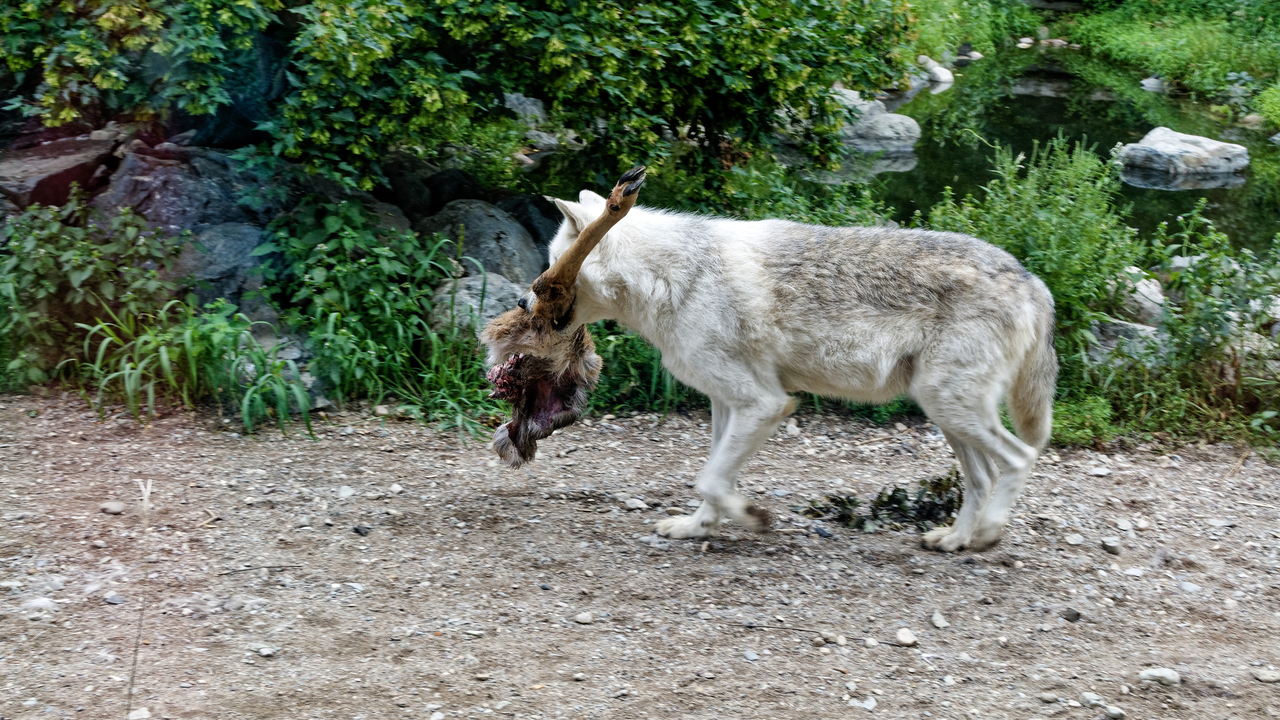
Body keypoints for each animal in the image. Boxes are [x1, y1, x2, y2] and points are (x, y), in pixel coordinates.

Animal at [483, 168, 1057, 552]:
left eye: (551, 266)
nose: (524, 303)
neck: (672, 277)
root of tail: (1034, 281)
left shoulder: (765, 403)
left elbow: (712, 479)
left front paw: (752, 517)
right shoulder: (727, 405)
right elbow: (711, 477)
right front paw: (697, 527)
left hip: (950, 406)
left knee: (1019, 458)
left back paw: (987, 533)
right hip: (944, 412)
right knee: (982, 477)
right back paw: (955, 539)